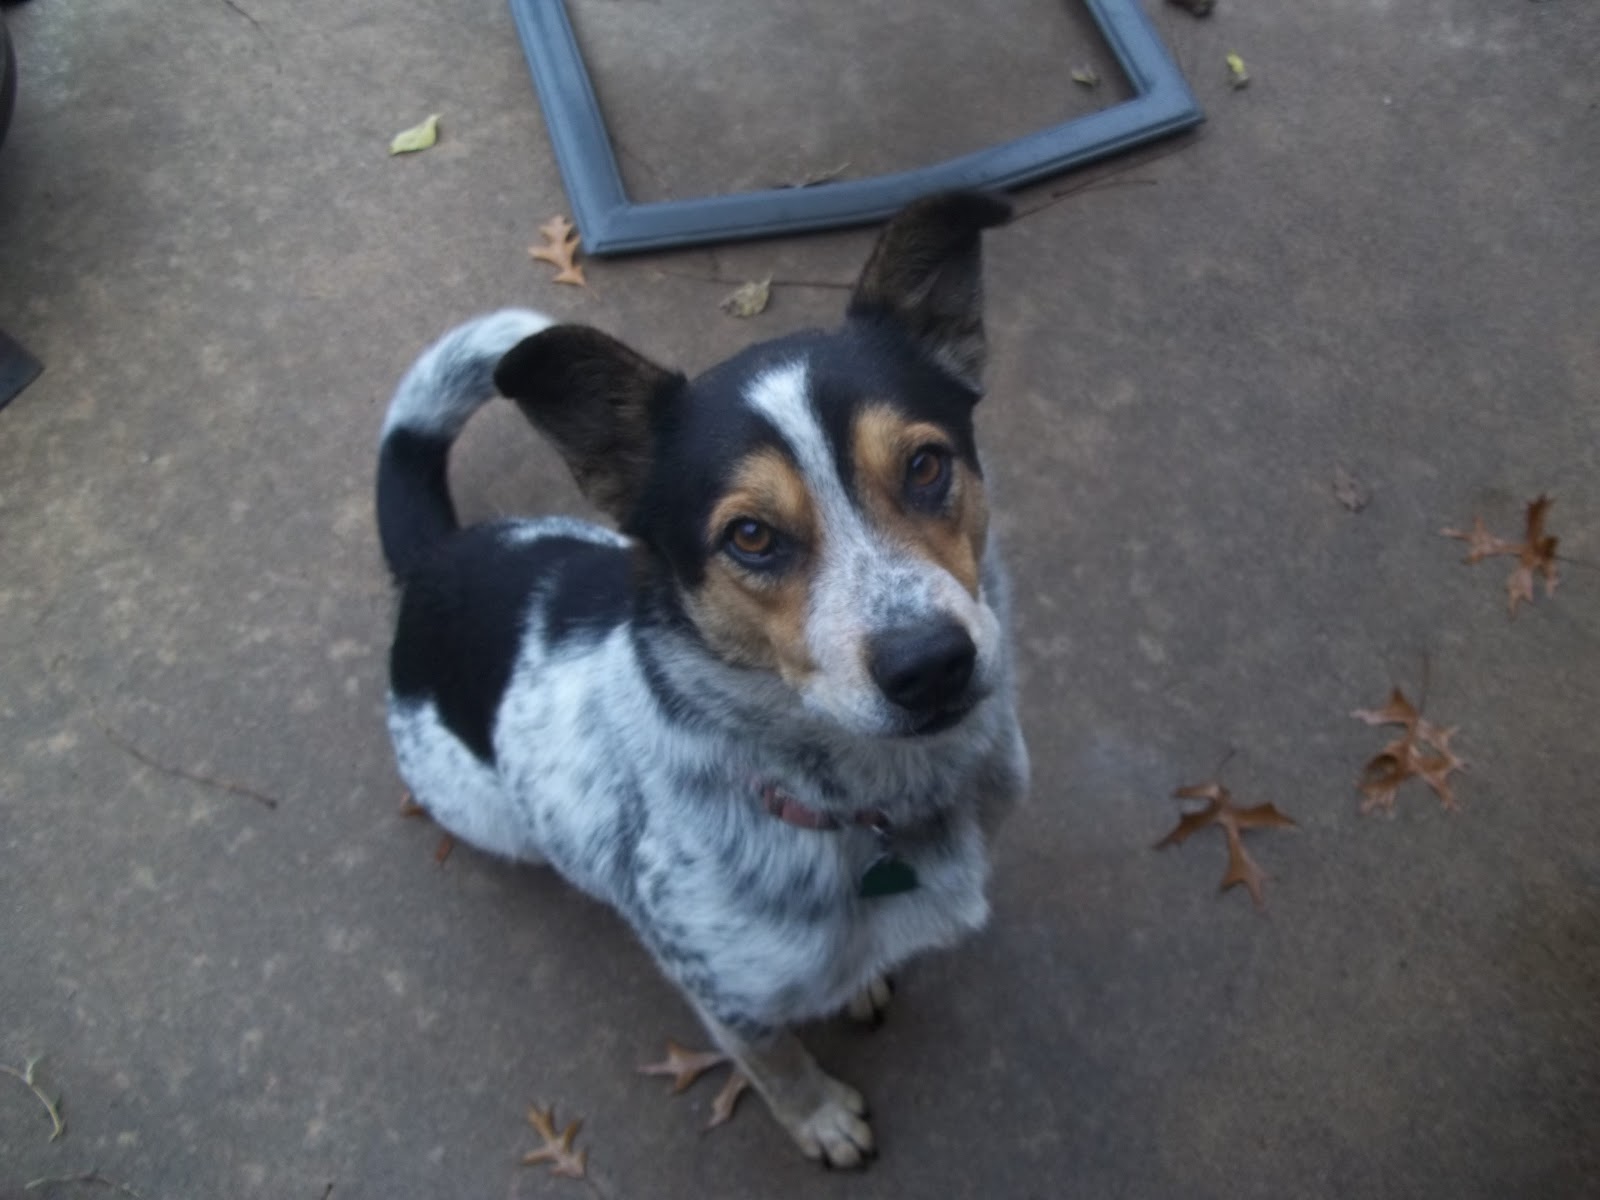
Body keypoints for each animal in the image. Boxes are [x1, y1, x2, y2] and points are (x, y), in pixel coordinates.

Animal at [376, 192, 1029, 1167]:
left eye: (925, 465)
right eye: (750, 536)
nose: (931, 665)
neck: (862, 802)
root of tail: (432, 563)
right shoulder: (723, 990)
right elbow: (778, 1062)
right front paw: (822, 1118)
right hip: (485, 812)